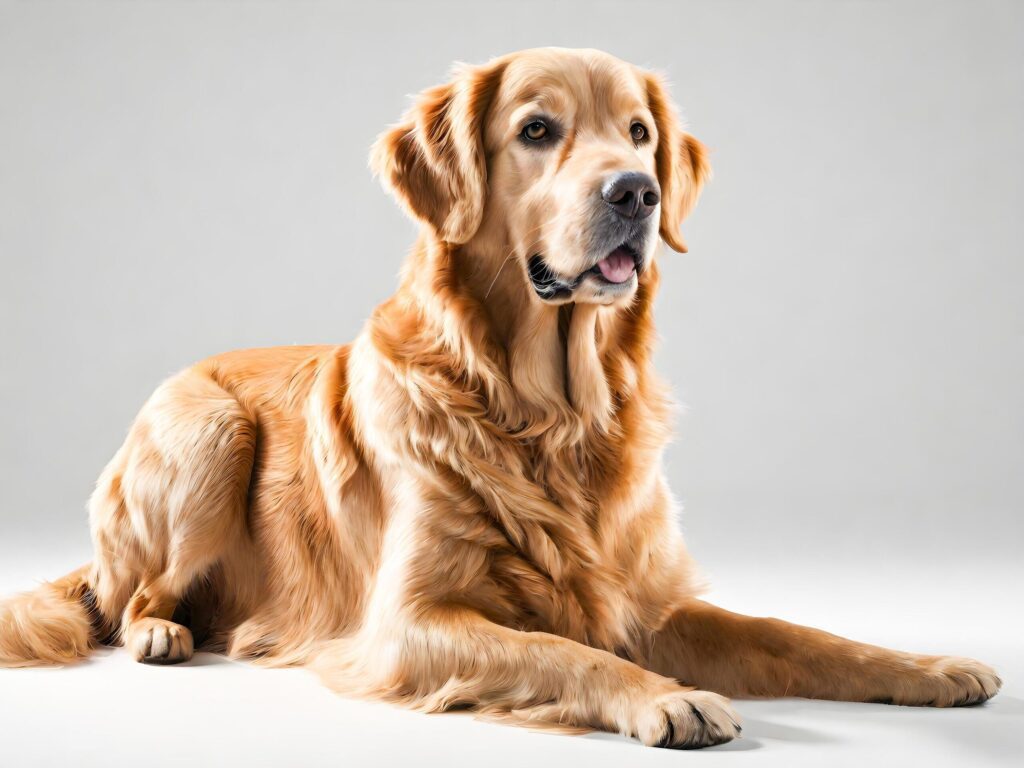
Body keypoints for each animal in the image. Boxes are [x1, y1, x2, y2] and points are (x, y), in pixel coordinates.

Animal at [0, 49, 995, 753]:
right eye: (538, 130)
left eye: (639, 131)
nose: (637, 192)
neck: (553, 414)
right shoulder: (409, 625)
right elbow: (563, 650)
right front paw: (667, 698)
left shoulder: (649, 599)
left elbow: (801, 634)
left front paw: (930, 666)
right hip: (211, 431)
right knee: (131, 595)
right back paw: (162, 632)